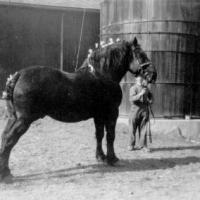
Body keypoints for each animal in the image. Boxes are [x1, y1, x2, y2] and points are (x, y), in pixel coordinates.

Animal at [0, 36, 156, 180]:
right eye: (141, 54)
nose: (153, 74)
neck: (103, 75)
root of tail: (19, 75)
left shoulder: (98, 115)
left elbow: (99, 135)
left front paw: (101, 157)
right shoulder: (111, 113)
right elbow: (110, 136)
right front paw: (113, 159)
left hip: (14, 118)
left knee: (4, 136)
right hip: (24, 120)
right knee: (9, 139)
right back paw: (5, 174)